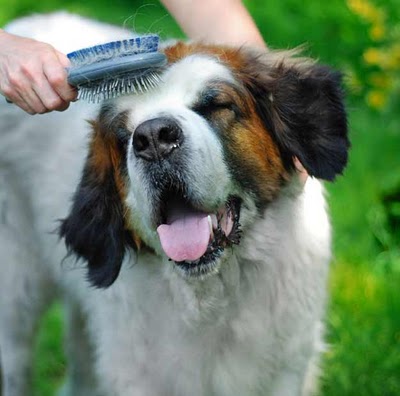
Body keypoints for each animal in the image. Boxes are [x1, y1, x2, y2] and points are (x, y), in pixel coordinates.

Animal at [0, 10, 348, 396]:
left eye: (214, 106)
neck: (214, 293)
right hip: (14, 296)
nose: (153, 138)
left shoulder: (286, 367)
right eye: (124, 136)